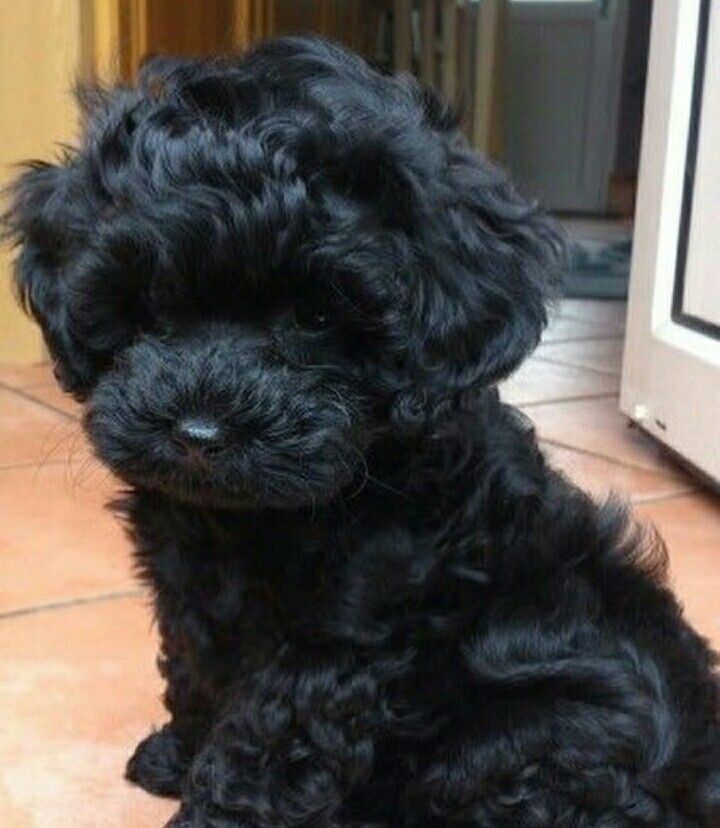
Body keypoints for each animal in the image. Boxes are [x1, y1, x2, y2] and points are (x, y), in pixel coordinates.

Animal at [7, 38, 720, 828]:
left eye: (316, 318)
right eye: (150, 307)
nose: (198, 431)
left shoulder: (338, 639)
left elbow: (262, 745)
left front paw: (212, 809)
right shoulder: (193, 600)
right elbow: (195, 668)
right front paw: (177, 752)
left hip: (522, 740)